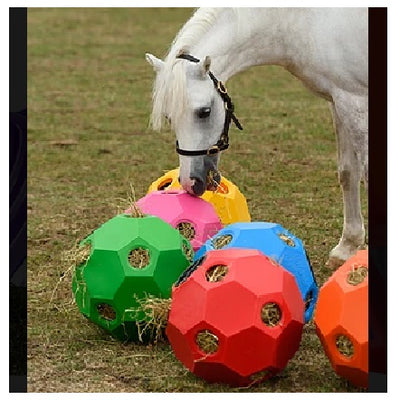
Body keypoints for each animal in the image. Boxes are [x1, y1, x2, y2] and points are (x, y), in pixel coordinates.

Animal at [145, 7, 368, 268]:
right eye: (169, 117)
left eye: (204, 112)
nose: (191, 183)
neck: (306, 21)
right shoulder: (339, 101)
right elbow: (348, 173)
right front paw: (346, 248)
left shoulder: (355, 101)